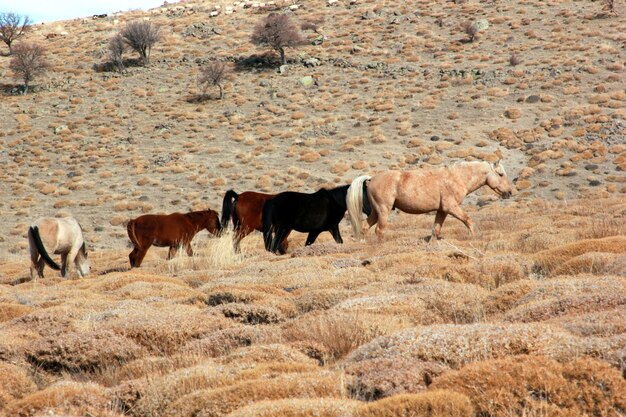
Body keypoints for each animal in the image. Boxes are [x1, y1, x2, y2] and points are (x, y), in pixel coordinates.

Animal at [346, 161, 512, 242]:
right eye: (501, 174)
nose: (509, 192)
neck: (457, 177)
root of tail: (371, 179)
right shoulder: (451, 207)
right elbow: (468, 220)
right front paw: (473, 236)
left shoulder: (442, 210)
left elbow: (436, 230)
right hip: (383, 211)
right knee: (379, 230)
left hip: (376, 212)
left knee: (365, 227)